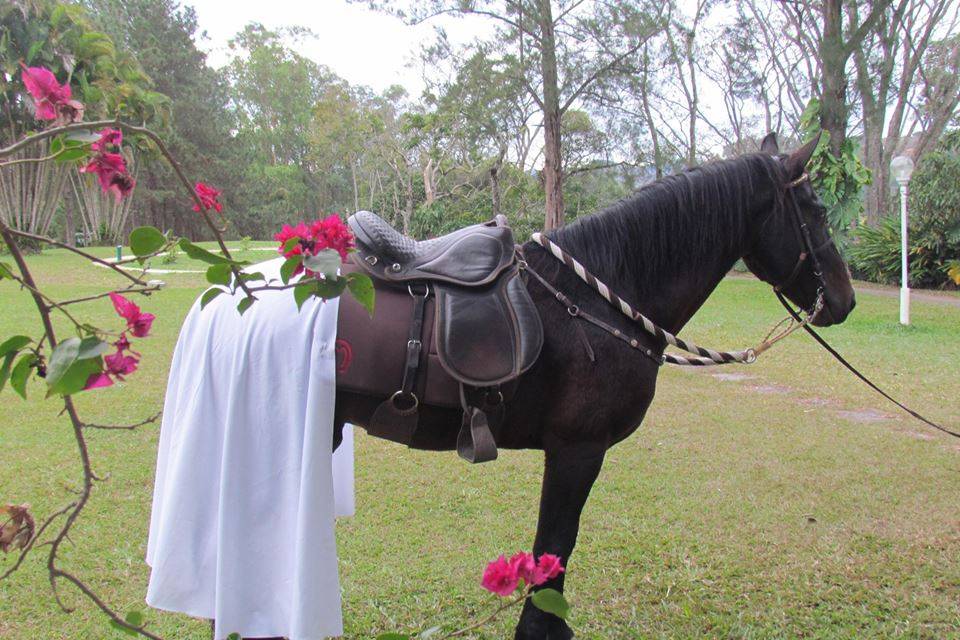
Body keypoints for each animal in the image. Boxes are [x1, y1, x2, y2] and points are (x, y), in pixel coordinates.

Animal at [328, 132, 856, 636]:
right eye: (818, 210)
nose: (845, 299)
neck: (596, 297)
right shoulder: (578, 450)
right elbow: (555, 545)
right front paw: (542, 628)